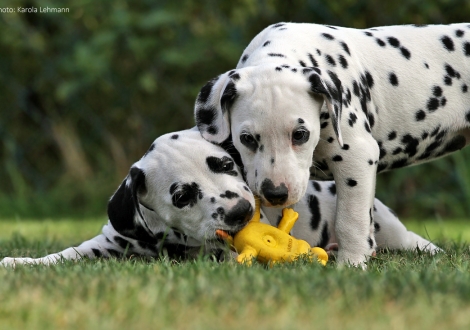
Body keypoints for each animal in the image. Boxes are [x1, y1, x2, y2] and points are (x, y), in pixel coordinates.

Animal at [0, 127, 440, 266]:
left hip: (387, 228)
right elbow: (63, 255)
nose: (242, 211)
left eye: (226, 164)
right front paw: (21, 263)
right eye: (182, 196)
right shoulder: (110, 243)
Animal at [196, 22, 470, 266]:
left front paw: (351, 264)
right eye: (247, 138)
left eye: (300, 134)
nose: (275, 193)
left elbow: (350, 221)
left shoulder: (357, 157)